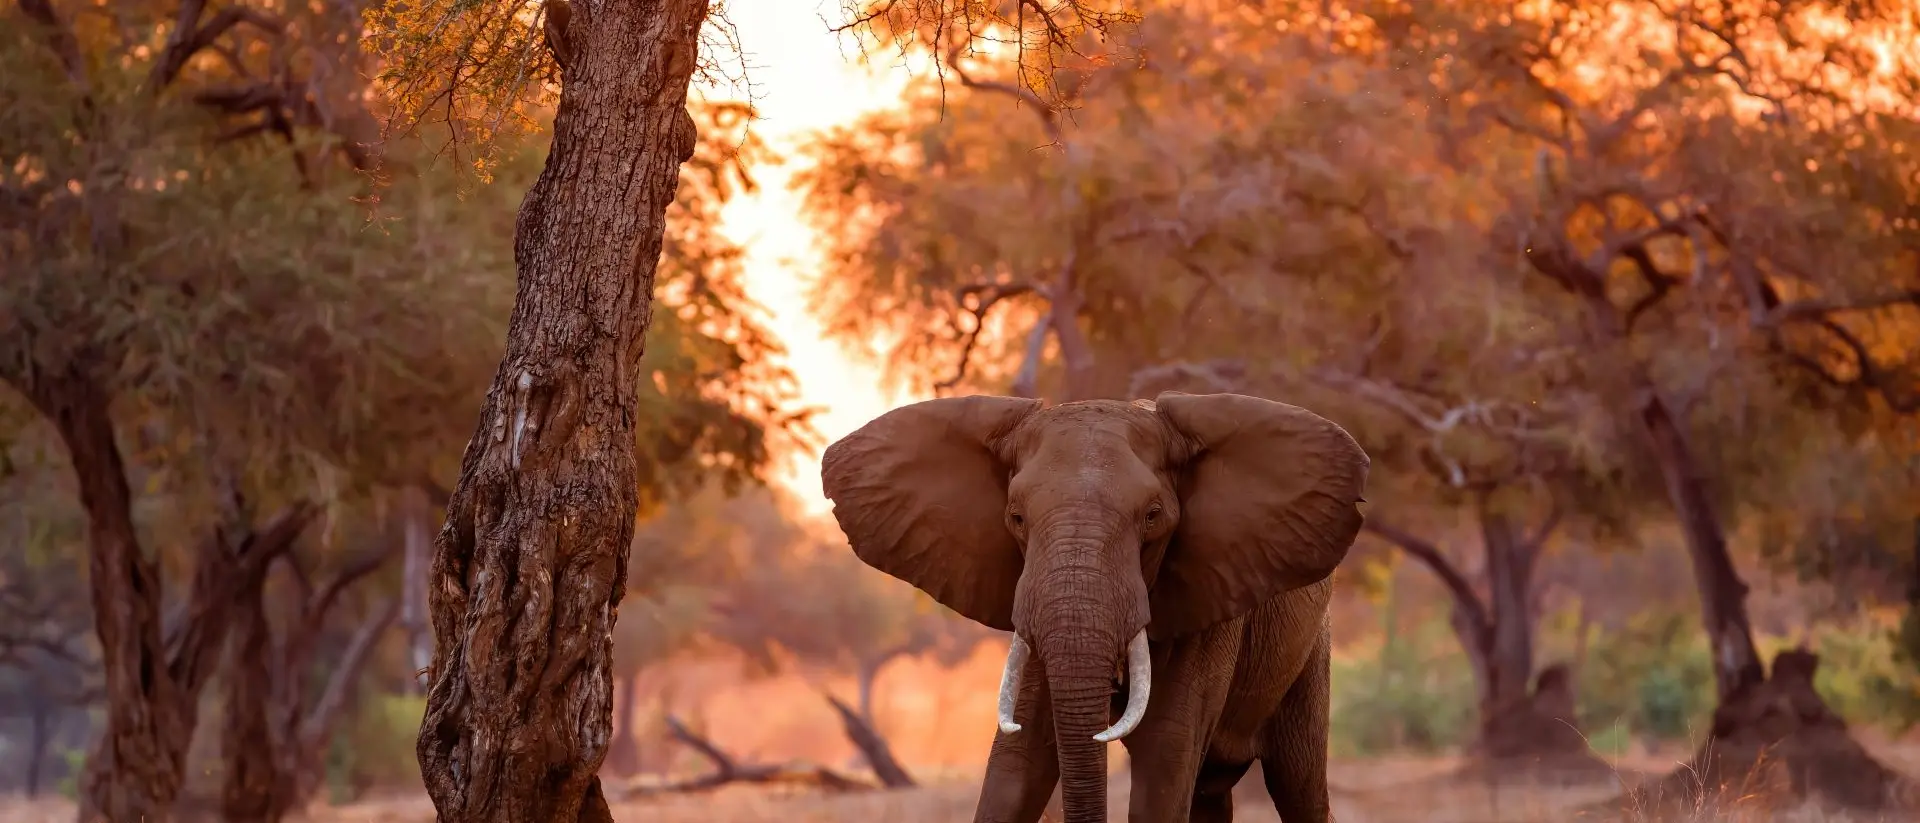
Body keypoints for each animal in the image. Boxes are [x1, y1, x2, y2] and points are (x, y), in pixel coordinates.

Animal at [820, 392, 1370, 823]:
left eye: (1153, 517)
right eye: (1016, 518)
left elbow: (1163, 766)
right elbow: (1015, 767)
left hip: (1310, 654)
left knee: (1298, 786)